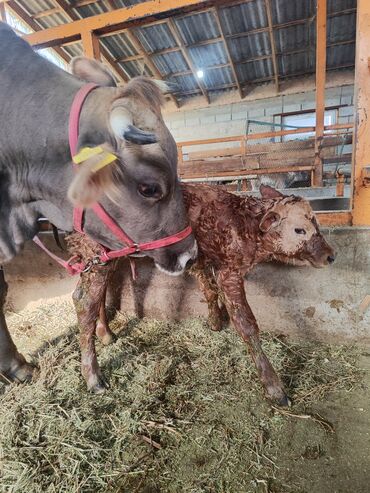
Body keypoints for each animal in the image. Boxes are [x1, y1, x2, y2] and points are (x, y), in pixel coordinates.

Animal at [64, 183, 336, 402]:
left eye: (317, 222)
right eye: (299, 230)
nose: (330, 255)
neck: (243, 223)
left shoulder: (203, 260)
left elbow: (209, 289)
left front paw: (215, 322)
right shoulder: (229, 271)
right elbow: (246, 323)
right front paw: (274, 387)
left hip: (103, 259)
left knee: (99, 294)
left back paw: (106, 333)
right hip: (95, 255)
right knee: (83, 300)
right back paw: (94, 377)